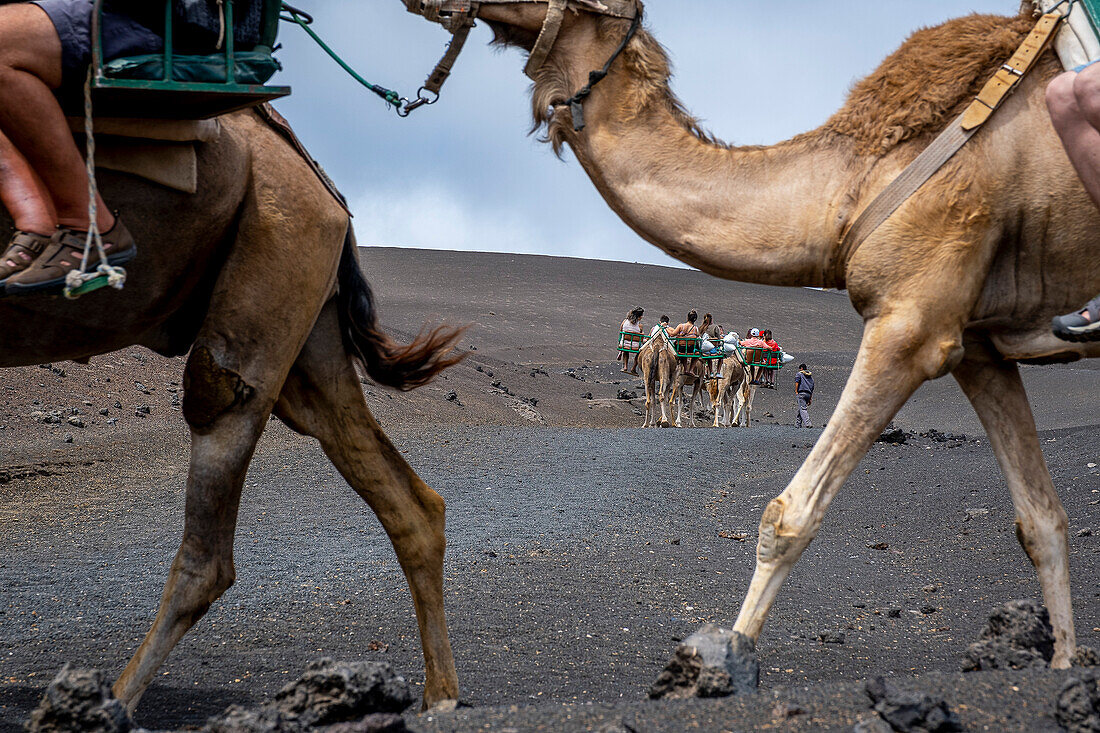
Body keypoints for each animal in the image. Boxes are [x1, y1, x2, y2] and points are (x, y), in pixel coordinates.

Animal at [0, 108, 462, 708]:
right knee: (407, 501)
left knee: (209, 532)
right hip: (308, 337)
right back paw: (439, 696)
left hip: (269, 272)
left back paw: (113, 703)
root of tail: (329, 194)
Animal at [455, 0, 1100, 669]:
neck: (851, 186)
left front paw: (724, 663)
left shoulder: (914, 319)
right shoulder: (975, 345)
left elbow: (788, 516)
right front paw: (1062, 666)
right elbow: (1042, 522)